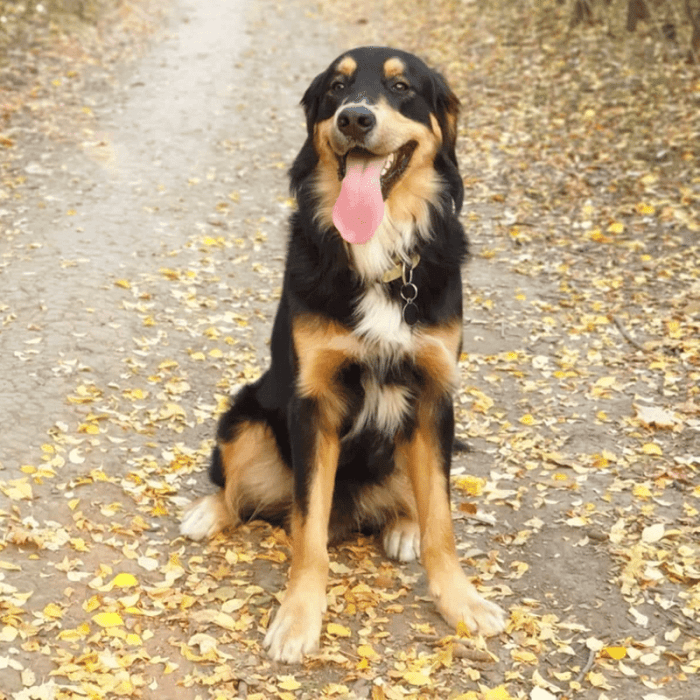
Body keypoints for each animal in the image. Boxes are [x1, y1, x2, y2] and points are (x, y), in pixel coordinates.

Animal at [180, 47, 506, 660]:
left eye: (402, 86)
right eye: (336, 86)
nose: (355, 118)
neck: (377, 248)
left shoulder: (434, 397)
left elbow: (442, 521)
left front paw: (461, 600)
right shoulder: (313, 403)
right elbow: (307, 531)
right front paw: (298, 617)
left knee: (413, 501)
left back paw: (402, 527)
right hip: (244, 414)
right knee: (239, 493)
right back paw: (209, 512)